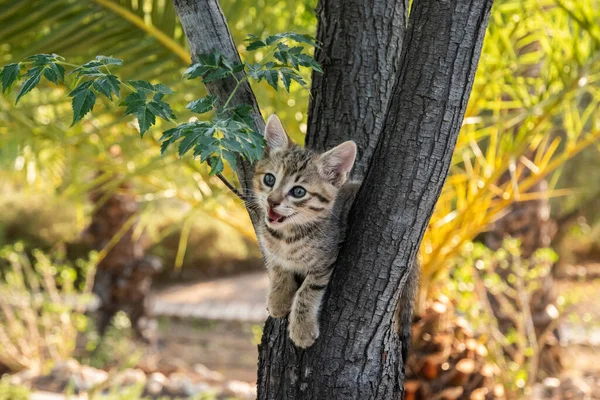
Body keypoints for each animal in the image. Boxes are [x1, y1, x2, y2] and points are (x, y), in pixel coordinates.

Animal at [252, 115, 358, 346]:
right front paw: (279, 298)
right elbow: (278, 268)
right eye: (269, 179)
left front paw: (302, 328)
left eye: (298, 192)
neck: (286, 236)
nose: (272, 202)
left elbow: (308, 290)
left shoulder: (327, 259)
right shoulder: (269, 247)